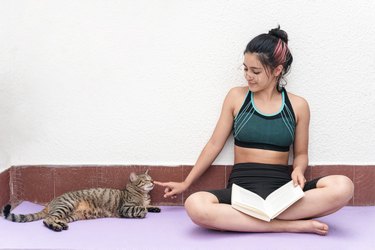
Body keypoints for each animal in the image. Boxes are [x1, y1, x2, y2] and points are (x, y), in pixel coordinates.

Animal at [2, 170, 162, 232]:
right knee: (47, 219)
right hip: (66, 206)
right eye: (145, 180)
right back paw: (56, 227)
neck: (142, 194)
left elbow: (149, 206)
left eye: (151, 178)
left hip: (72, 215)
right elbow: (141, 209)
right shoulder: (126, 207)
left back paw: (60, 225)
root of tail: (51, 202)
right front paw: (143, 211)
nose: (153, 181)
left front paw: (154, 207)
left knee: (53, 218)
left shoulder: (146, 202)